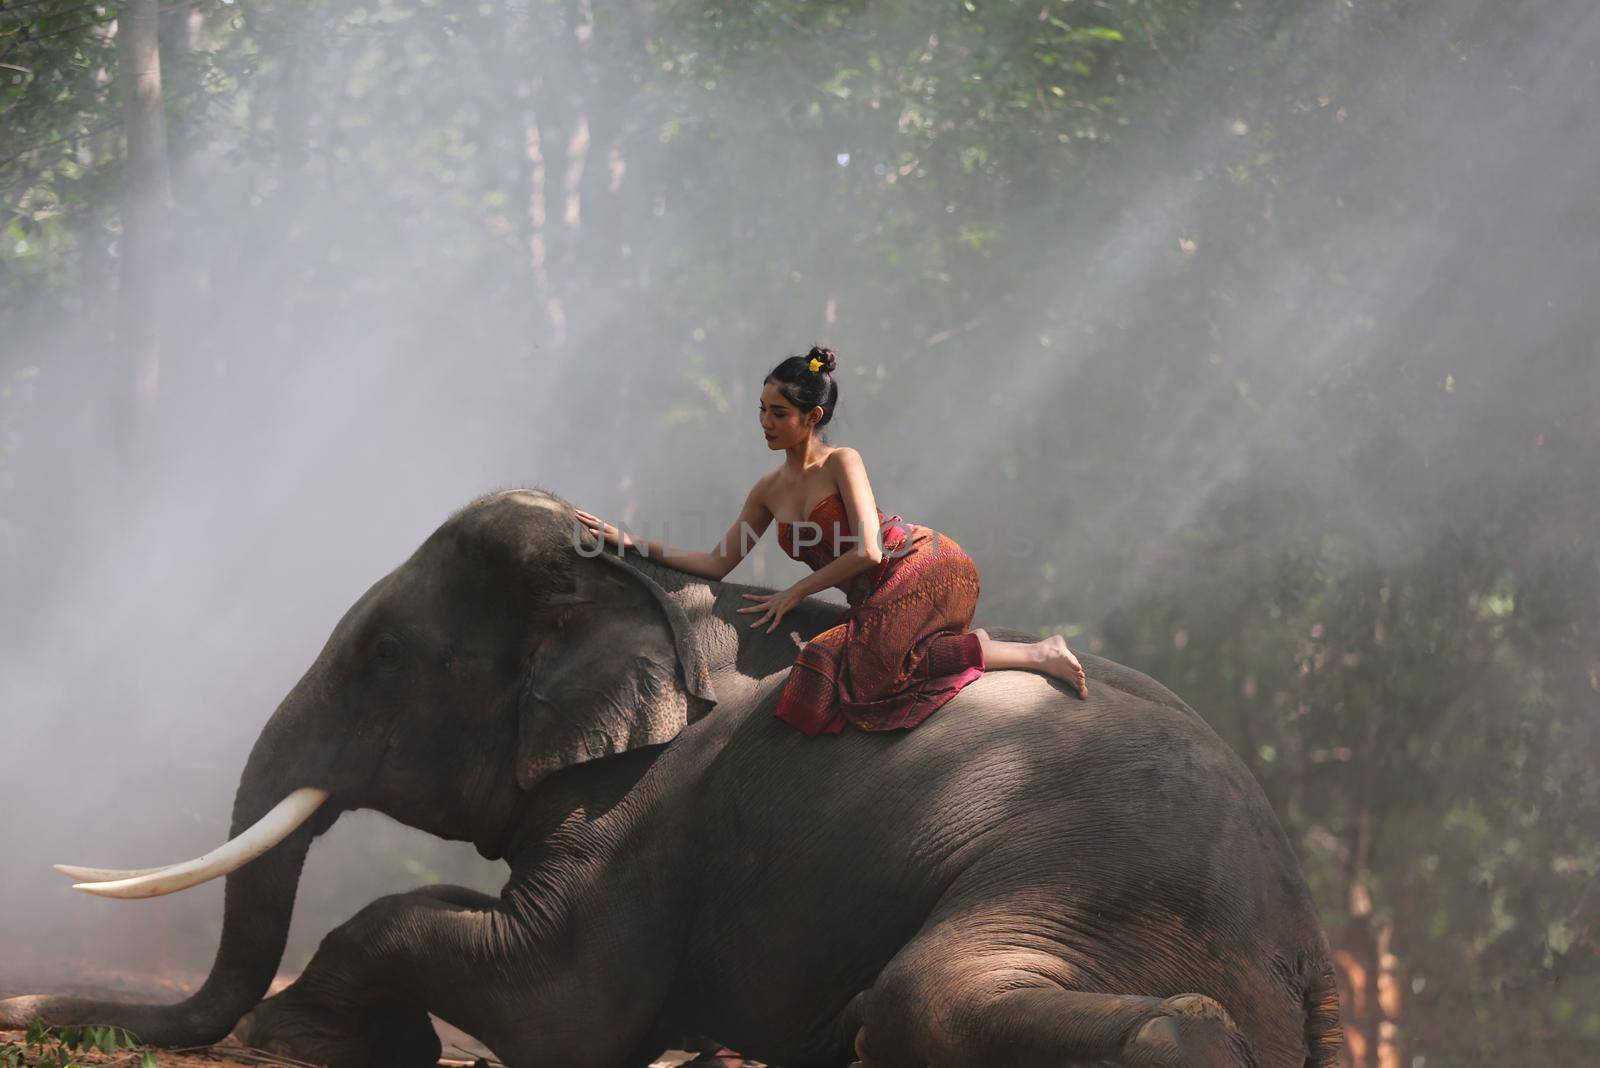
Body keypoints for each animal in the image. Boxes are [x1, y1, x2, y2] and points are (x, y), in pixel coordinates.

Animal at [6, 489, 1344, 1061]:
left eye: (382, 657)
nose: (22, 1009)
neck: (632, 584)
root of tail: (1312, 948)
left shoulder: (642, 821)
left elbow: (560, 1007)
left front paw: (293, 1039)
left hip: (1097, 885)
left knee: (927, 992)